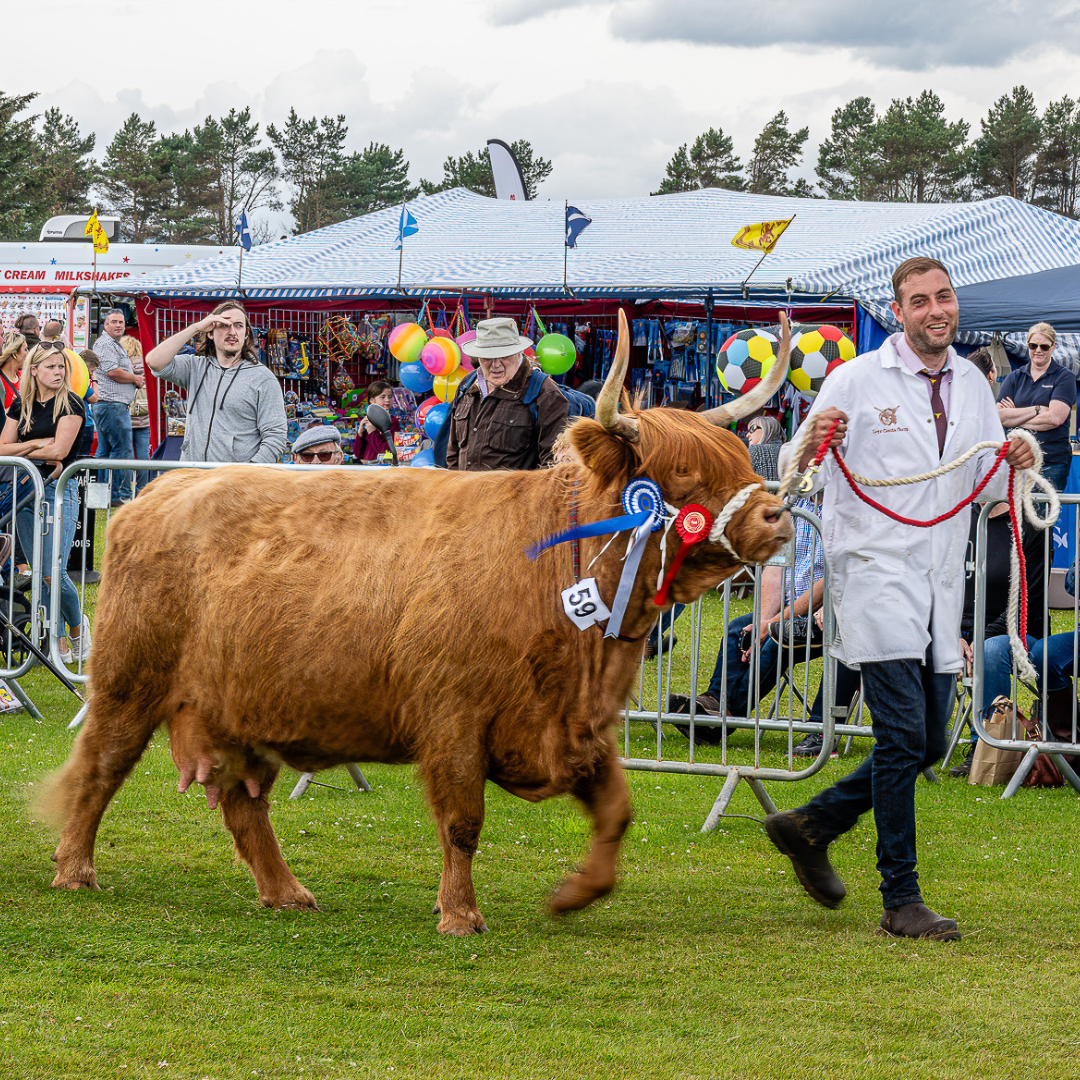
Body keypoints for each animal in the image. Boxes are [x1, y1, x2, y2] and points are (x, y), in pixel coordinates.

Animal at [39, 311, 794, 934]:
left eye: (736, 459)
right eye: (685, 474)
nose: (777, 514)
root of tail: (160, 490)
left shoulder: (577, 726)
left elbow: (617, 811)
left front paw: (576, 893)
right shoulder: (454, 718)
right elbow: (463, 824)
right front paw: (459, 914)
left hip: (237, 707)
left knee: (243, 803)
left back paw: (287, 893)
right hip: (129, 683)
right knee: (99, 767)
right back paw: (75, 870)